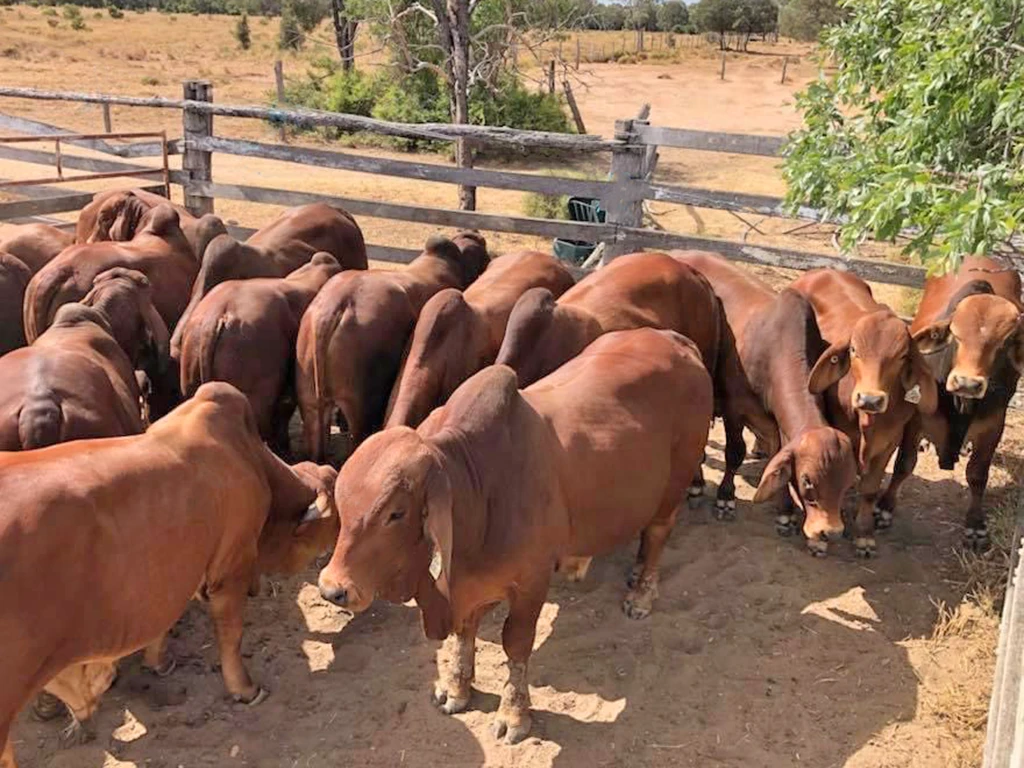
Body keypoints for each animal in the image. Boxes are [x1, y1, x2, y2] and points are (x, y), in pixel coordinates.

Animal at [0, 383, 339, 768]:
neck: (253, 460)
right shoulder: (230, 567)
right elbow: (231, 634)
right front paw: (245, 689)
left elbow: (164, 622)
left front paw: (158, 663)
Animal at [318, 328, 713, 744]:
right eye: (342, 501)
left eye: (396, 513)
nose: (332, 589)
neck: (479, 493)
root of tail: (675, 340)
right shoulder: (467, 587)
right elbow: (464, 634)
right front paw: (457, 687)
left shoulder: (531, 583)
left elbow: (516, 644)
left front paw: (514, 714)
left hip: (674, 485)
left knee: (657, 533)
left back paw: (641, 593)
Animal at [674, 251, 857, 555]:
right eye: (807, 481)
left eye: (847, 483)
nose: (829, 532)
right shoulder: (735, 408)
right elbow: (734, 452)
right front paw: (725, 499)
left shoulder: (775, 423)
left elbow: (777, 457)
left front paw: (785, 513)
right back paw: (697, 484)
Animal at [790, 269, 938, 556]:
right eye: (853, 350)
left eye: (902, 356)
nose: (870, 399)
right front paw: (819, 538)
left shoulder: (889, 441)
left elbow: (869, 489)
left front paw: (864, 534)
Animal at [888, 256, 1023, 549]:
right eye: (956, 334)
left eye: (1004, 343)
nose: (967, 383)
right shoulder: (917, 417)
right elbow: (904, 463)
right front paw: (884, 510)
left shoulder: (994, 426)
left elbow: (977, 475)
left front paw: (975, 526)